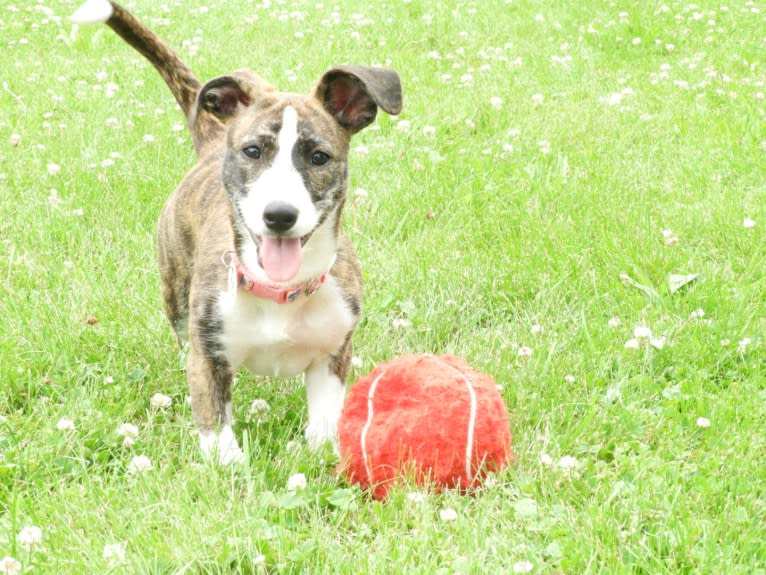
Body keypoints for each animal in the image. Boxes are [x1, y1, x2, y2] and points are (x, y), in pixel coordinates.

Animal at [73, 0, 402, 464]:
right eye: (252, 151)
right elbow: (217, 431)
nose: (279, 215)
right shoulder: (208, 355)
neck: (280, 290)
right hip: (176, 293)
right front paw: (228, 468)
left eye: (319, 157)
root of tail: (213, 141)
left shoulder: (332, 355)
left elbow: (324, 425)